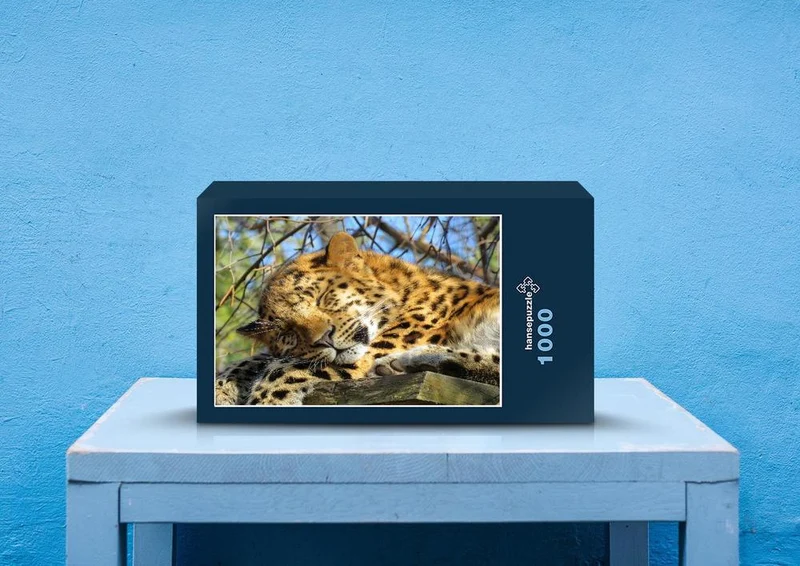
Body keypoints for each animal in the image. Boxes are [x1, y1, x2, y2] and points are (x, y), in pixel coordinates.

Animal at [215, 232, 500, 406]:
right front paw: (221, 389)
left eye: (322, 297)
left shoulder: (374, 349)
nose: (324, 340)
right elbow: (258, 360)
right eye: (288, 334)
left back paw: (413, 359)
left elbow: (282, 368)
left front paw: (266, 400)